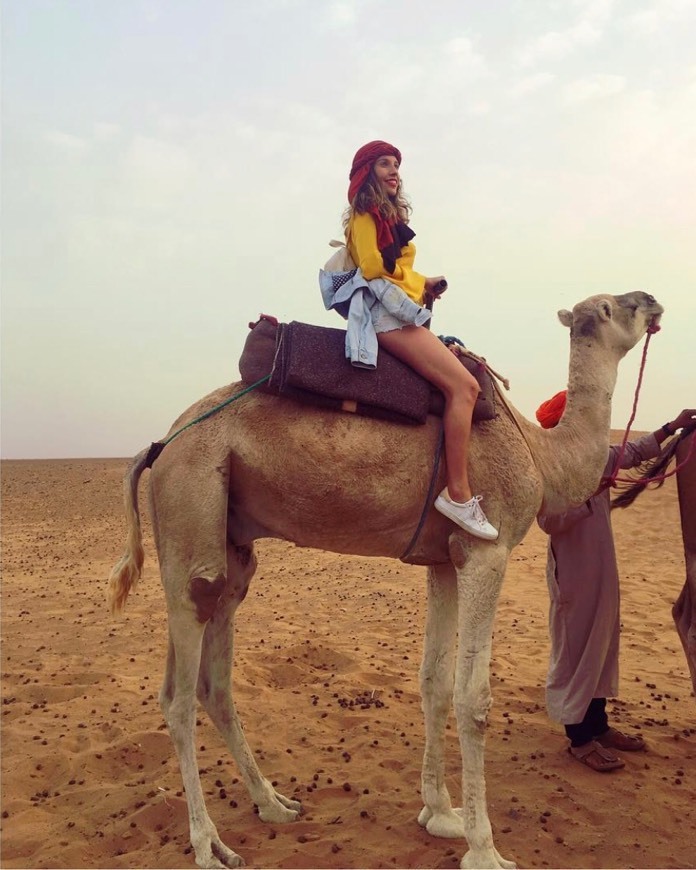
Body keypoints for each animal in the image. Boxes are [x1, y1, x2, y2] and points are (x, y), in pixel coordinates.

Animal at [109, 290, 664, 868]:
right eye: (613, 306)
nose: (652, 301)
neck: (541, 453)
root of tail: (161, 444)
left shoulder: (445, 559)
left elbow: (434, 682)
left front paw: (441, 814)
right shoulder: (486, 550)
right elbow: (474, 699)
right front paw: (484, 848)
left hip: (230, 543)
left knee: (213, 679)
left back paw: (275, 804)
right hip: (190, 503)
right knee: (177, 692)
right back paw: (209, 843)